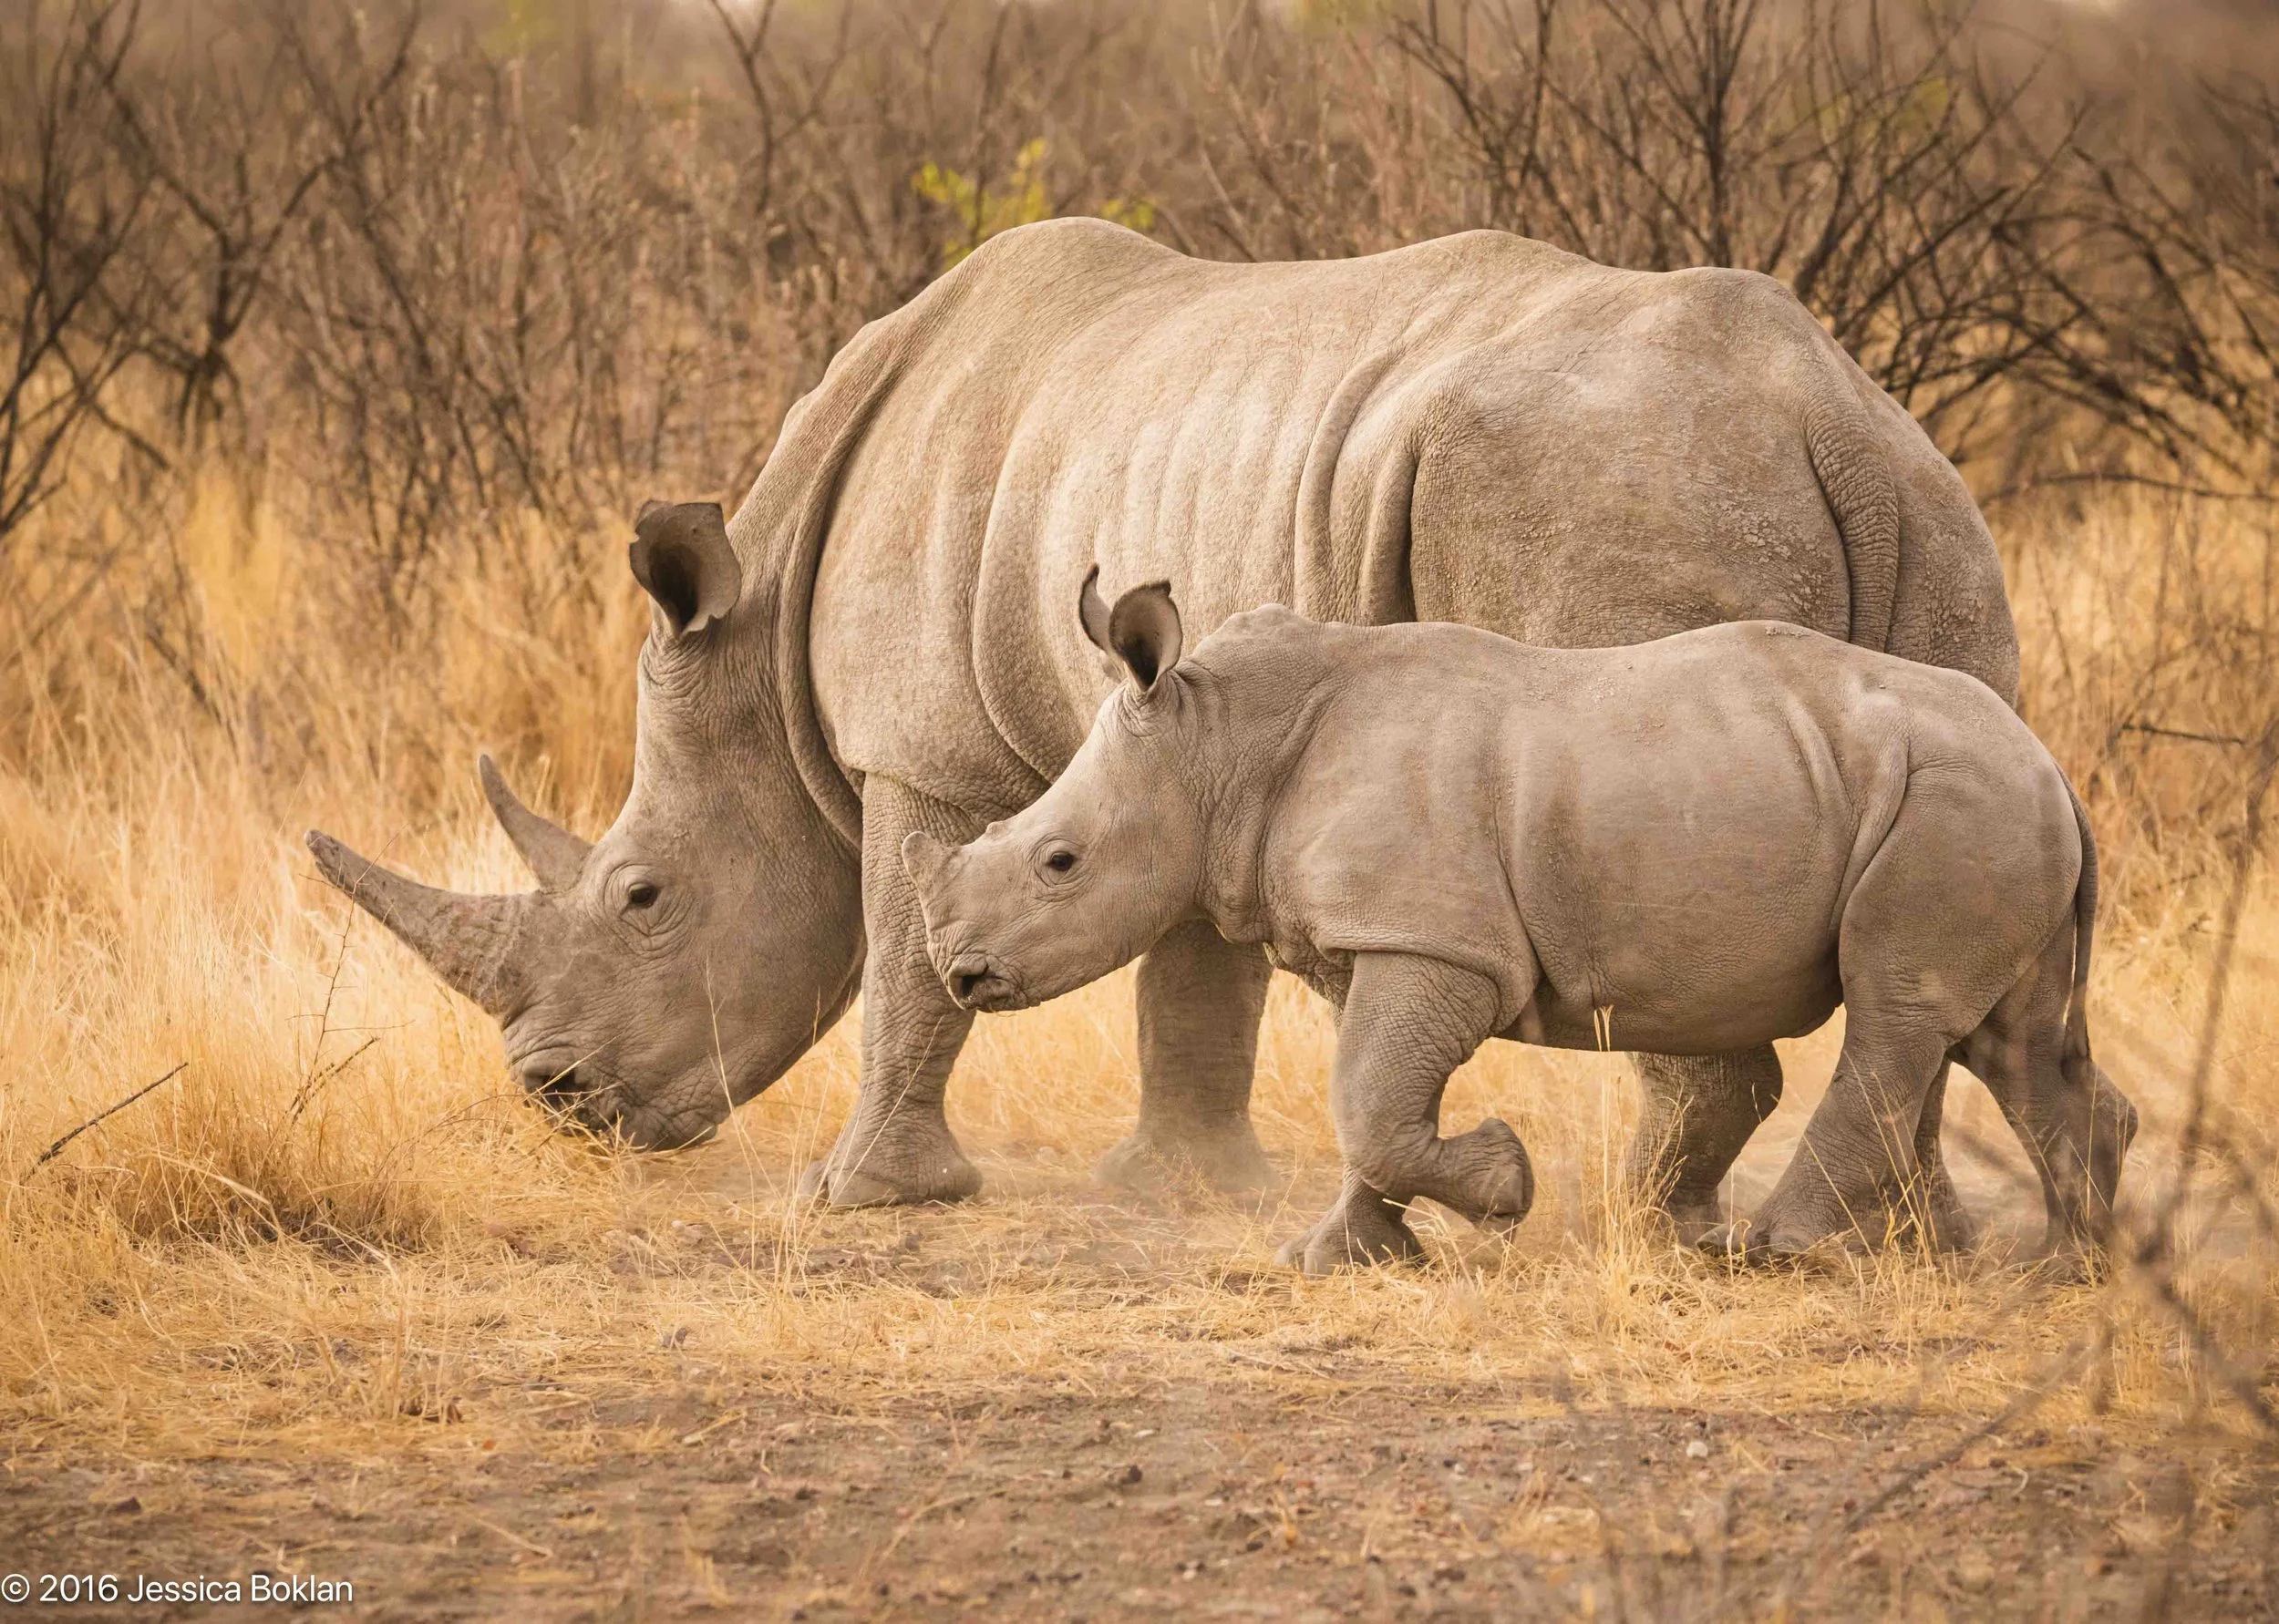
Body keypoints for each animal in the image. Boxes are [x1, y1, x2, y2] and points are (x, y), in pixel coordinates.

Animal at [305, 219, 2018, 1246]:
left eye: (641, 896)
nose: (555, 1098)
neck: (763, 646)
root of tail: (1818, 416)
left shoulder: (919, 752)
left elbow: (906, 960)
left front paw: (863, 1199)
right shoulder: (1177, 727)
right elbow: (1193, 970)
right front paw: (1180, 1188)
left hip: (1602, 486)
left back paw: (1660, 1225)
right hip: (1924, 508)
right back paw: (1907, 1238)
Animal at [903, 578, 2136, 1272]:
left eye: (1060, 863)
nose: (961, 975)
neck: (1217, 745)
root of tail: (2048, 762)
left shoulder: (1437, 940)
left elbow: (1373, 1103)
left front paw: (1502, 1191)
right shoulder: (1386, 937)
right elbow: (1371, 1101)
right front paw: (1335, 1258)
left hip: (1950, 800)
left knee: (1899, 1012)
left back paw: (1769, 1253)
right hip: (1978, 801)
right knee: (2007, 1039)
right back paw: (2068, 1263)